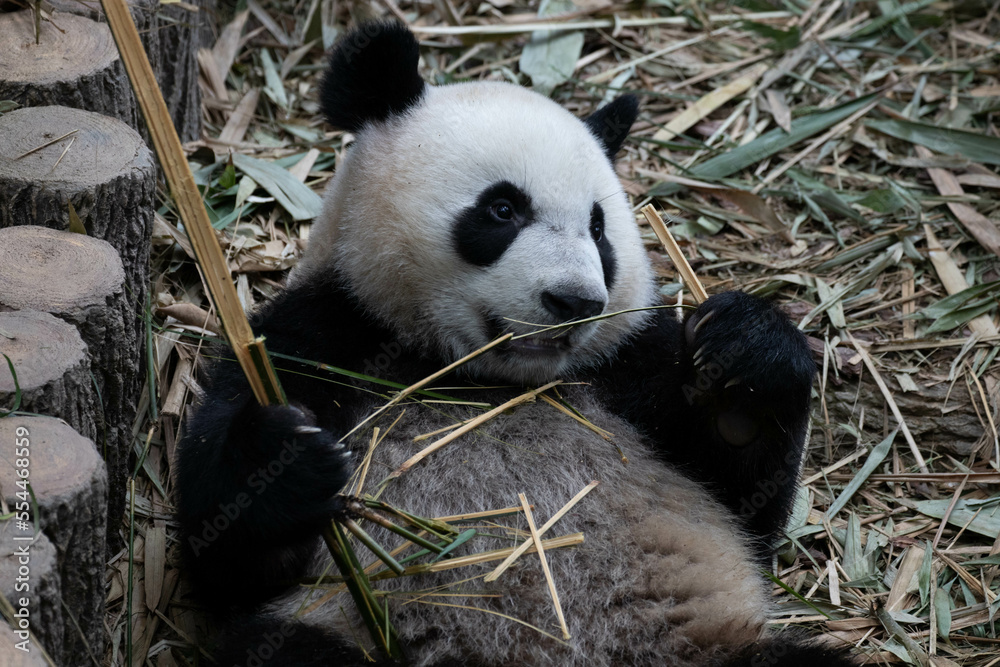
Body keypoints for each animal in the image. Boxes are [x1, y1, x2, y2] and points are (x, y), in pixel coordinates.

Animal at [175, 21, 854, 667]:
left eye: (599, 228)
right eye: (502, 209)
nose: (575, 302)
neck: (482, 378)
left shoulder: (626, 365)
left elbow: (745, 506)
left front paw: (746, 360)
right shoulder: (329, 333)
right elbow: (224, 559)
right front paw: (287, 458)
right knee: (288, 650)